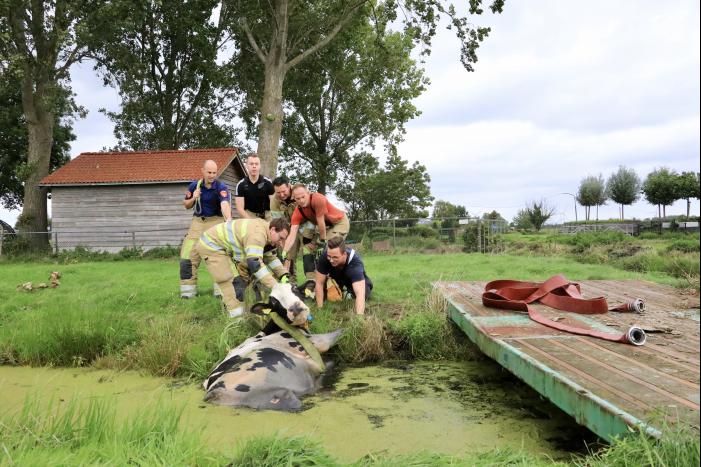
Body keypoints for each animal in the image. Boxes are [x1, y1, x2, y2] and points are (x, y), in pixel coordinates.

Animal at [203, 282, 343, 411]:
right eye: (274, 302)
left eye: (295, 288)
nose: (295, 308)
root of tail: (213, 392)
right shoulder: (315, 340)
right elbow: (337, 334)